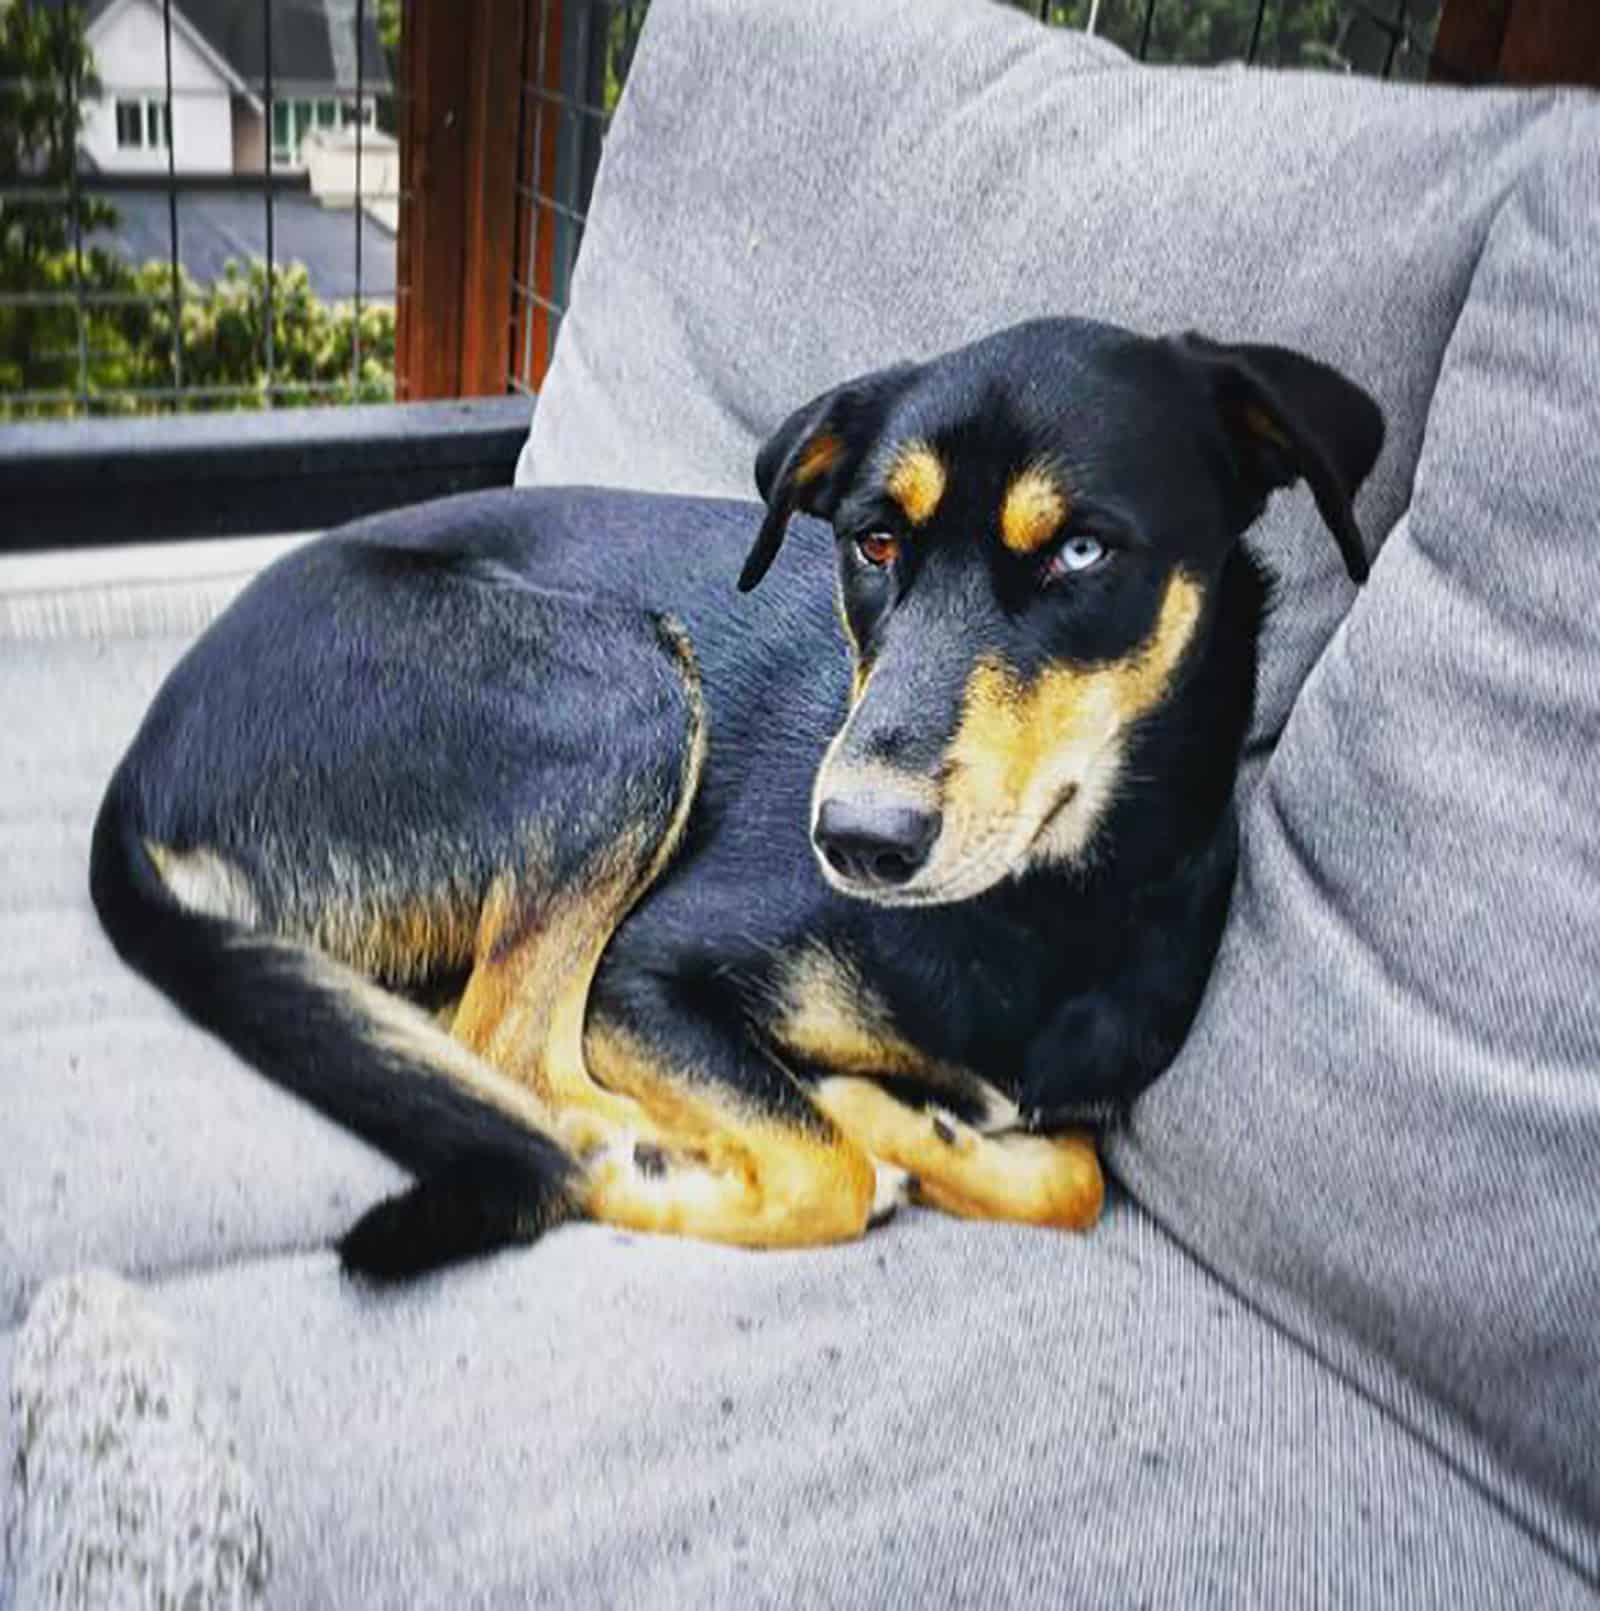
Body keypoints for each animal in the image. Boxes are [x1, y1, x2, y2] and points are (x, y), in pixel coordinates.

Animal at [93, 314, 1379, 1275]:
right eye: (871, 543)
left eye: (1080, 553)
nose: (855, 839)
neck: (1040, 909)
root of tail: (142, 771)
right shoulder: (648, 977)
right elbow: (823, 1170)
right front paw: (716, 1157)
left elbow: (1070, 1176)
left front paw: (896, 1114)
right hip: (618, 683)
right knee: (503, 1047)